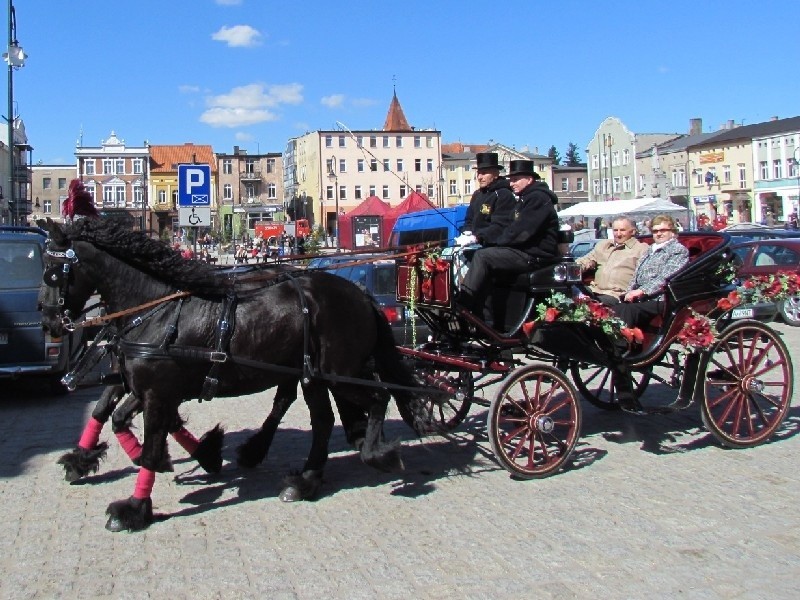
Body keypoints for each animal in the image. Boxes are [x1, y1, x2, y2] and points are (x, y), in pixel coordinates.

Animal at [39, 218, 432, 532]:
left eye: (52, 271)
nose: (48, 321)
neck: (156, 309)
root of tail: (361, 293)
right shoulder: (141, 384)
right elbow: (112, 414)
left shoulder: (156, 392)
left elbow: (145, 439)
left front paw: (135, 506)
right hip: (313, 374)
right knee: (319, 418)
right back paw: (305, 478)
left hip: (339, 372)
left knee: (377, 396)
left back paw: (376, 453)